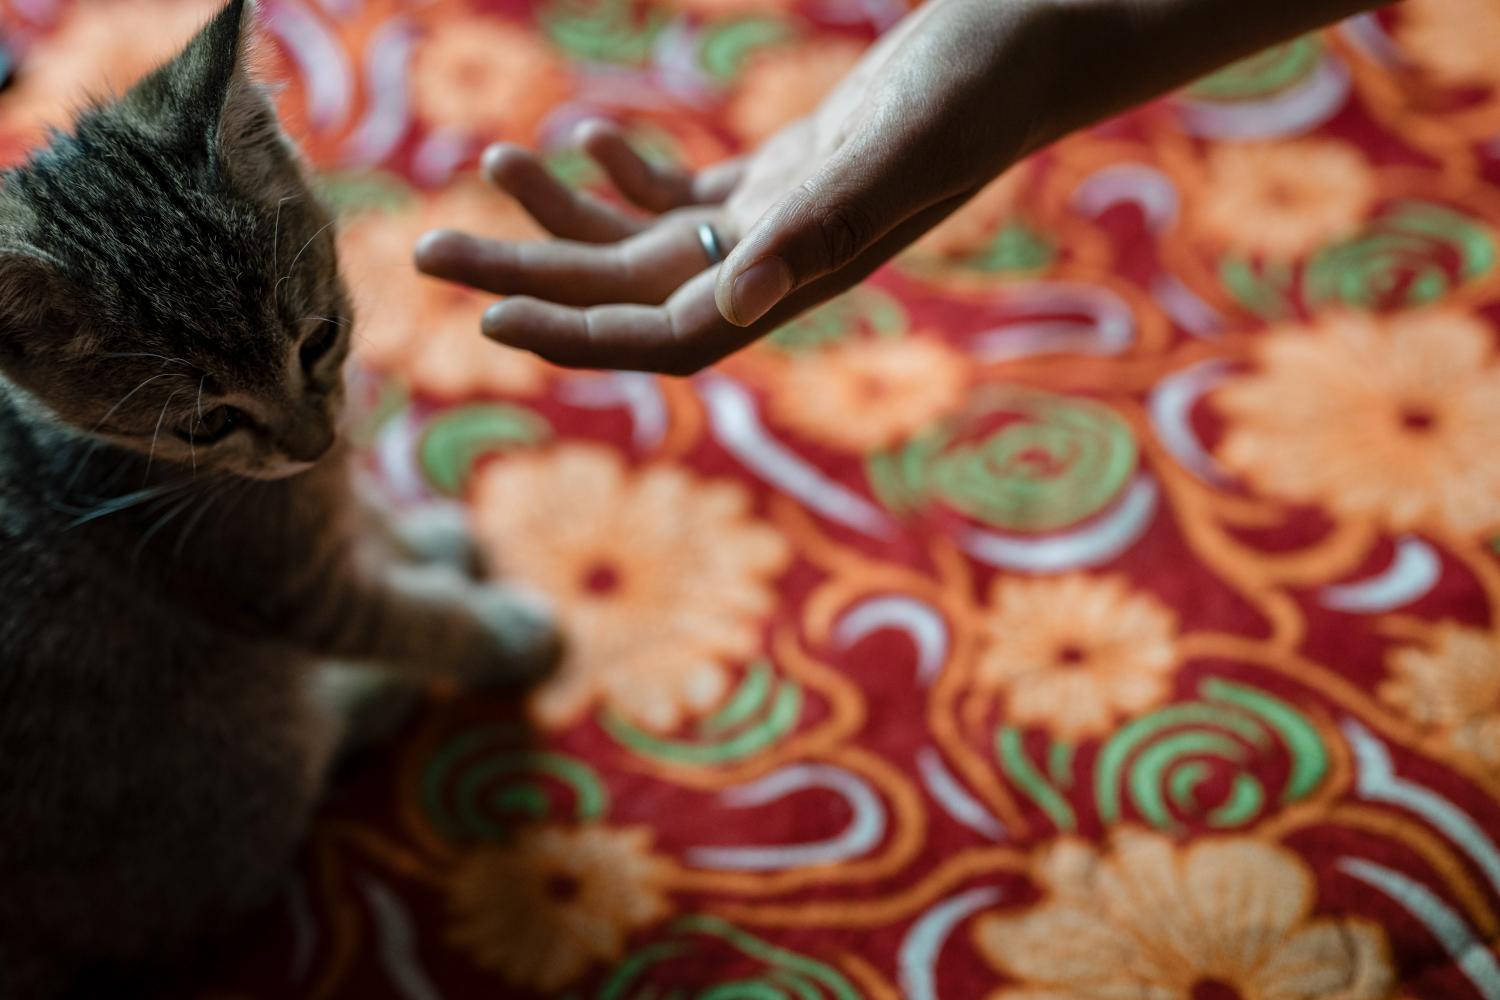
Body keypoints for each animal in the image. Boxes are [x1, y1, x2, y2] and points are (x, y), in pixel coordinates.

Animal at [0, 1, 561, 995]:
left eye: (320, 338)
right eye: (207, 423)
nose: (313, 442)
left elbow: (367, 527)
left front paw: (424, 542)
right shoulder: (279, 584)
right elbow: (411, 618)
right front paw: (499, 634)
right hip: (239, 734)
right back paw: (370, 696)